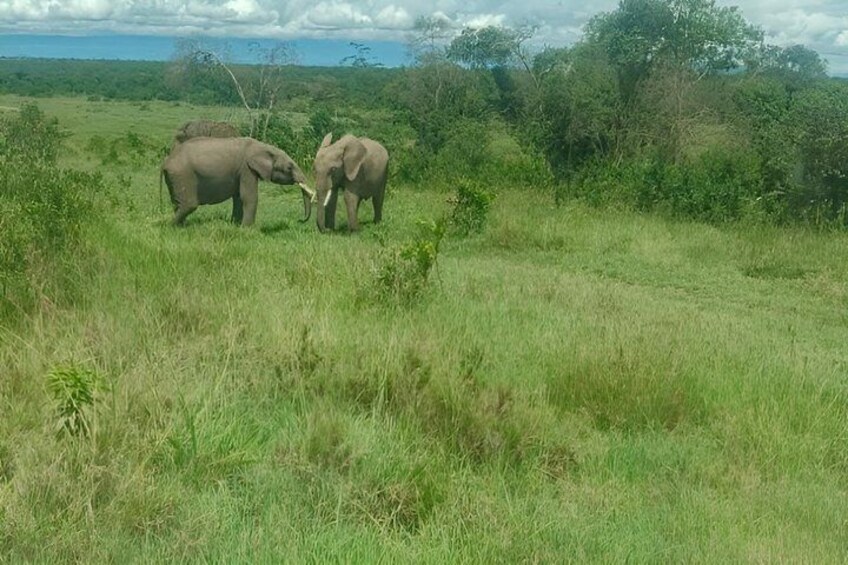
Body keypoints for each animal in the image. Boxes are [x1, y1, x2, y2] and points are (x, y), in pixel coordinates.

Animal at [160, 136, 316, 226]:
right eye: (289, 167)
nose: (299, 221)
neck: (263, 147)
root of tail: (166, 161)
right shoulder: (246, 169)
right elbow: (249, 197)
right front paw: (247, 230)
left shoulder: (240, 172)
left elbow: (239, 198)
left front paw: (235, 226)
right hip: (183, 175)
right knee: (189, 204)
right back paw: (171, 226)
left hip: (175, 178)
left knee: (178, 203)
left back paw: (181, 226)